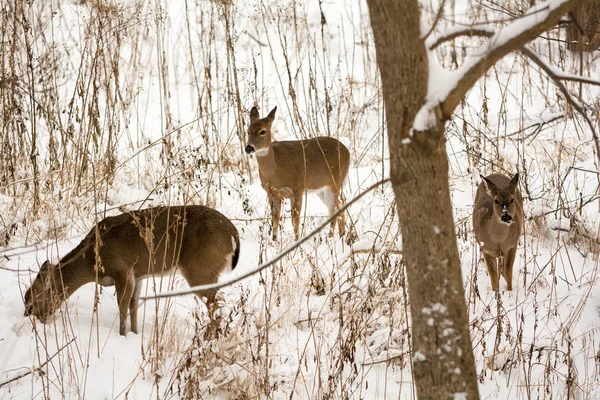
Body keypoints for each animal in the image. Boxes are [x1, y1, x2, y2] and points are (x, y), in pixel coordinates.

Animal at [24, 205, 239, 336]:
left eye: (31, 303)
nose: (32, 319)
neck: (91, 259)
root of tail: (232, 232)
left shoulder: (122, 270)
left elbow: (122, 306)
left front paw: (122, 335)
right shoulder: (138, 275)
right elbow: (134, 305)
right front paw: (135, 334)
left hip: (200, 270)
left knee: (216, 306)